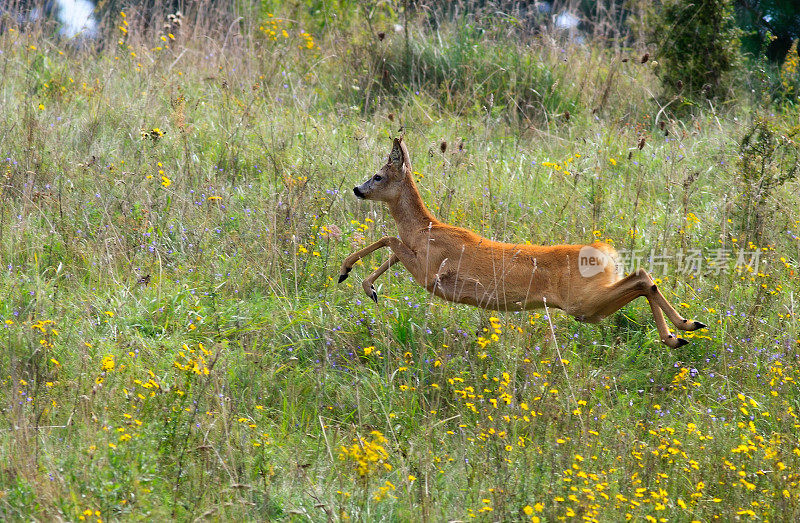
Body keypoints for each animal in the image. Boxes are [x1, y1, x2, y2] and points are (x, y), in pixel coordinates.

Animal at [338, 138, 708, 348]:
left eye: (377, 176)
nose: (356, 189)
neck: (426, 228)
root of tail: (608, 254)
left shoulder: (430, 272)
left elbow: (389, 238)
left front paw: (348, 272)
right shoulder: (420, 258)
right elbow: (392, 248)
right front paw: (367, 286)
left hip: (582, 303)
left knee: (643, 278)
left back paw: (681, 330)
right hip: (590, 305)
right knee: (643, 278)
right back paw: (682, 332)